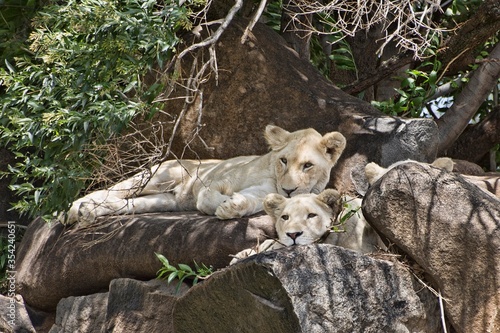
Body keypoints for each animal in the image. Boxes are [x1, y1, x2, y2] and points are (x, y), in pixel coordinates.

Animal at [63, 125, 348, 226]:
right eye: (284, 160)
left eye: (307, 165)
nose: (288, 190)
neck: (273, 175)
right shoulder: (216, 181)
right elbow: (208, 198)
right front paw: (223, 205)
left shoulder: (263, 194)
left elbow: (252, 201)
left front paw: (233, 206)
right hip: (159, 176)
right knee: (114, 189)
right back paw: (75, 209)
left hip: (164, 200)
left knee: (126, 204)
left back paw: (90, 212)